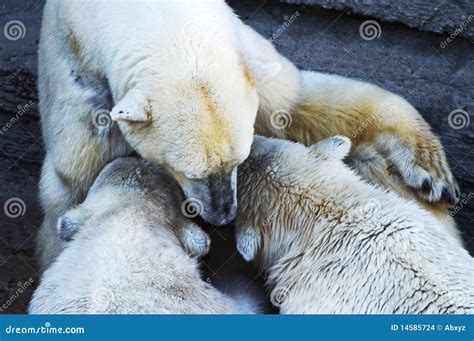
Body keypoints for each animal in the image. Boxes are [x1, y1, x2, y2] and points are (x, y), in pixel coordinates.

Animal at [38, 0, 460, 270]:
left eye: (238, 160)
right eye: (187, 172)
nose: (223, 215)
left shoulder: (246, 60)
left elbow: (300, 103)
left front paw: (430, 174)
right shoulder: (85, 90)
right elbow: (73, 188)